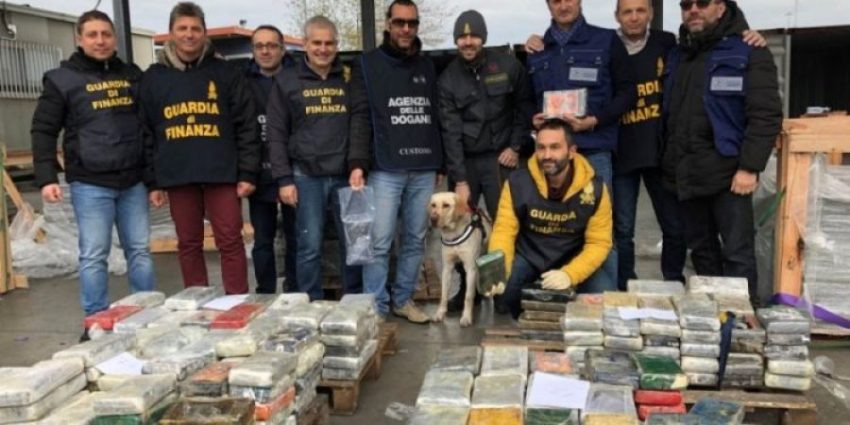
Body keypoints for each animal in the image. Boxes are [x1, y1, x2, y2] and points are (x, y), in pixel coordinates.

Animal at [428, 192, 492, 327]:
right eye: (433, 205)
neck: (453, 233)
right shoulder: (447, 268)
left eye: (446, 205)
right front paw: (440, 313)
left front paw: (466, 317)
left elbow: (468, 296)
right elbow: (444, 294)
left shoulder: (471, 269)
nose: (433, 219)